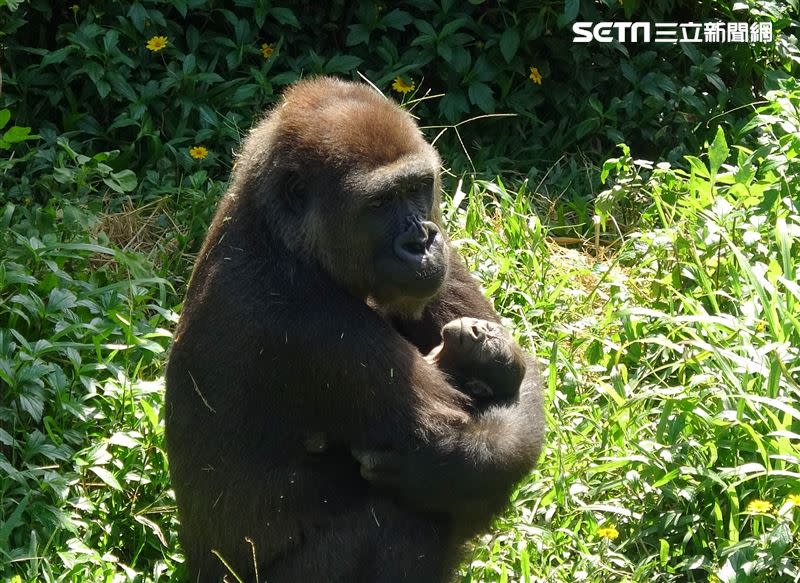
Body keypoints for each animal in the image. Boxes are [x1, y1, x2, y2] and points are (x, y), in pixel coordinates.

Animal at [166, 77, 548, 583]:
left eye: (417, 189)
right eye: (380, 203)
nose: (421, 242)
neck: (283, 237)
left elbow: (524, 388)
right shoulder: (311, 328)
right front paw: (448, 463)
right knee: (404, 522)